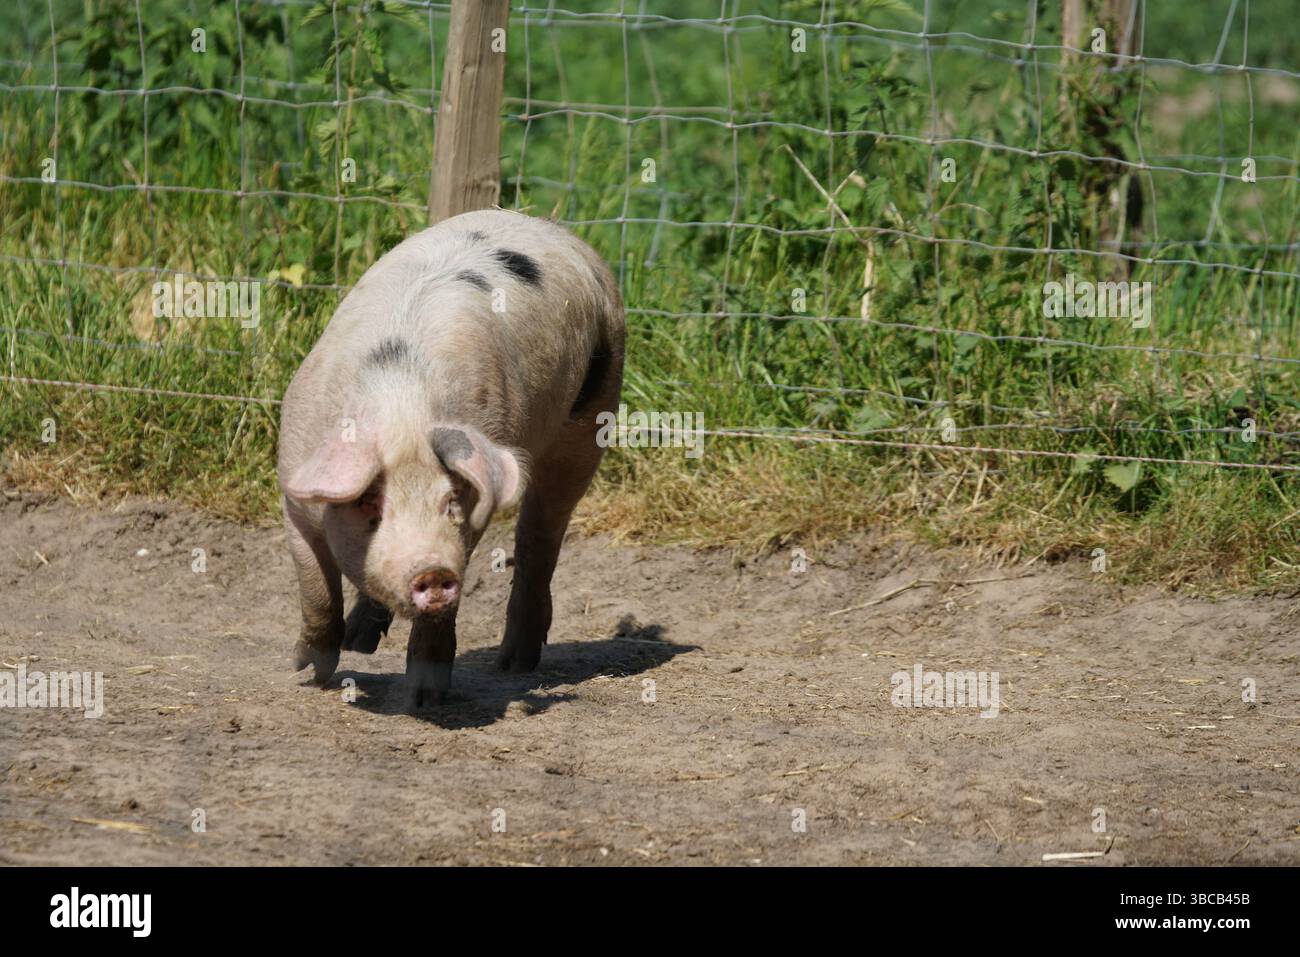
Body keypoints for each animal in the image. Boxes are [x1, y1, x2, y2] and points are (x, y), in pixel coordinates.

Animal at [277, 209, 625, 708]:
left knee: (539, 538)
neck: (402, 415)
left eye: (450, 503)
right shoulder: (295, 492)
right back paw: (360, 642)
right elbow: (317, 590)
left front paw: (425, 698)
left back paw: (513, 663)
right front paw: (309, 672)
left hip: (594, 412)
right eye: (372, 505)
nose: (434, 570)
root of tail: (551, 227)